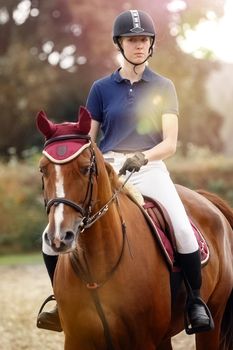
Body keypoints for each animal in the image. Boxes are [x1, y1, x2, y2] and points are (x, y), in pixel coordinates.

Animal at [36, 107, 233, 350]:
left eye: (85, 168)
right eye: (43, 169)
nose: (59, 237)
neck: (96, 267)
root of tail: (206, 199)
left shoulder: (142, 340)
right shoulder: (76, 339)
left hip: (213, 315)